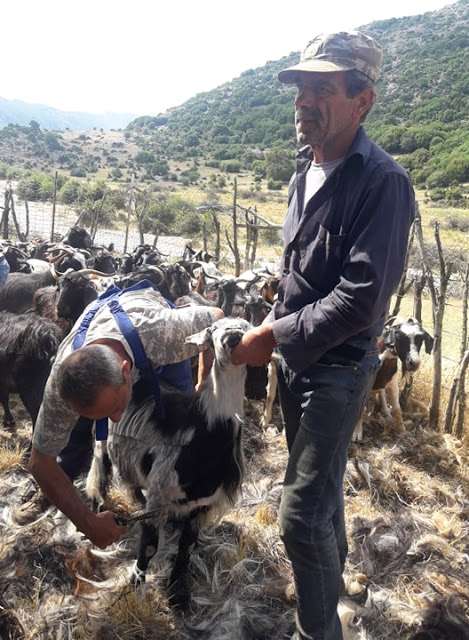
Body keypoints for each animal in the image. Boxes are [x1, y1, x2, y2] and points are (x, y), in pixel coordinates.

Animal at [85, 318, 250, 608]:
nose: (231, 338)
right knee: (99, 469)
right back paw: (97, 505)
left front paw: (178, 593)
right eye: (212, 331)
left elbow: (187, 546)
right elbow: (150, 545)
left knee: (130, 478)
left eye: (246, 326)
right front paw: (135, 584)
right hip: (101, 437)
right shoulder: (160, 494)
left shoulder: (202, 505)